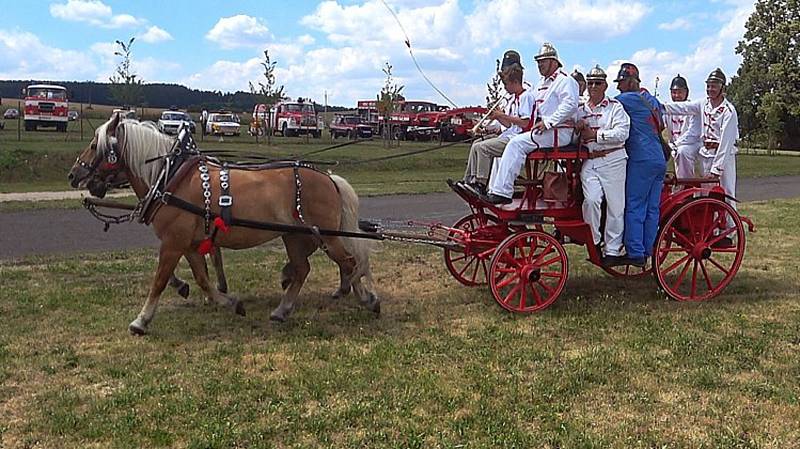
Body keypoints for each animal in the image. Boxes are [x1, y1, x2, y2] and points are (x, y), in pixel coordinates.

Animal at [69, 114, 378, 332]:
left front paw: (141, 320)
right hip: (296, 236)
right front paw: (230, 302)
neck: (169, 177)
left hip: (325, 235)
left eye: (95, 145)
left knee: (349, 263)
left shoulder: (173, 242)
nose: (73, 175)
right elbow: (203, 279)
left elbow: (159, 280)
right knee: (306, 268)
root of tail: (329, 179)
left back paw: (367, 299)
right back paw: (283, 309)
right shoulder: (189, 243)